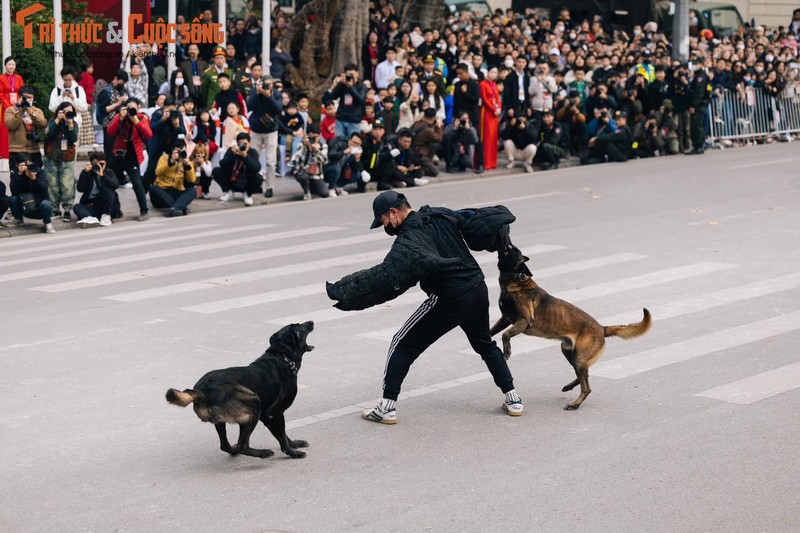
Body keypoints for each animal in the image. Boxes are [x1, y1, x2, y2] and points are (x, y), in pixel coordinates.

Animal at [167, 320, 314, 458]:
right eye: (299, 326)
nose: (311, 322)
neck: (282, 356)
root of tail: (202, 391)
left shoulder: (270, 416)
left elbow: (283, 434)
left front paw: (294, 444)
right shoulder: (272, 414)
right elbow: (282, 436)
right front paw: (292, 452)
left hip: (223, 421)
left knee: (226, 446)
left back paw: (235, 450)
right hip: (253, 403)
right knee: (242, 446)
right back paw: (262, 452)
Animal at [490, 246, 652, 412]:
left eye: (512, 249)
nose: (505, 243)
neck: (517, 279)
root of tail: (602, 328)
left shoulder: (524, 321)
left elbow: (505, 335)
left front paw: (507, 352)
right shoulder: (505, 319)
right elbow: (493, 331)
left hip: (579, 357)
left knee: (586, 387)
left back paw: (575, 404)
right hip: (569, 352)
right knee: (584, 376)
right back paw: (569, 387)